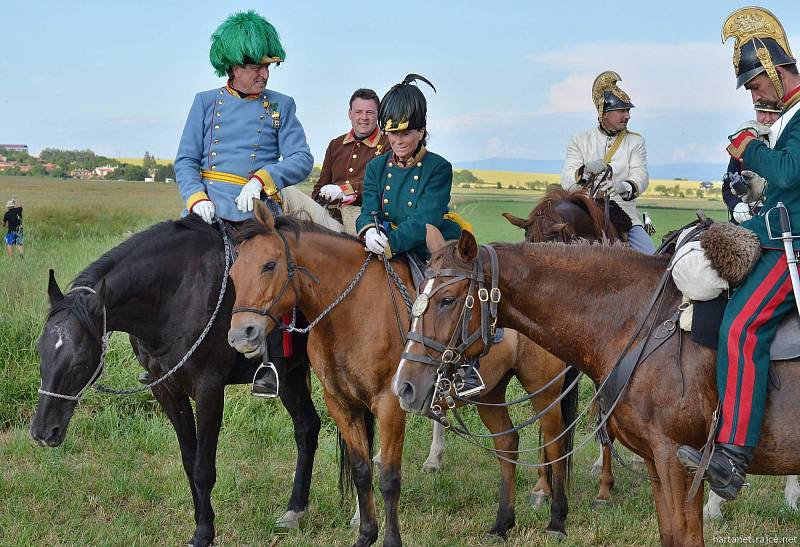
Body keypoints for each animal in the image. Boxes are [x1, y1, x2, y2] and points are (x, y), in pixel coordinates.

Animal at [28, 218, 322, 547]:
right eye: (40, 349)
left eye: (79, 360)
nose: (43, 432)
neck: (173, 295)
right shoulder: (165, 388)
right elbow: (189, 461)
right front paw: (201, 521)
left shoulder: (209, 389)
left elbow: (204, 468)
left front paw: (204, 533)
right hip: (291, 375)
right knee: (307, 428)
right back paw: (295, 510)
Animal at [228, 203, 580, 544]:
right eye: (233, 271)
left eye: (269, 265)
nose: (240, 335)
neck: (352, 311)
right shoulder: (341, 405)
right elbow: (361, 471)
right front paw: (365, 535)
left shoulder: (390, 404)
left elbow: (389, 478)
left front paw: (388, 539)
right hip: (489, 393)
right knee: (507, 443)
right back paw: (502, 524)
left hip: (542, 389)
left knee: (555, 443)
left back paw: (556, 518)